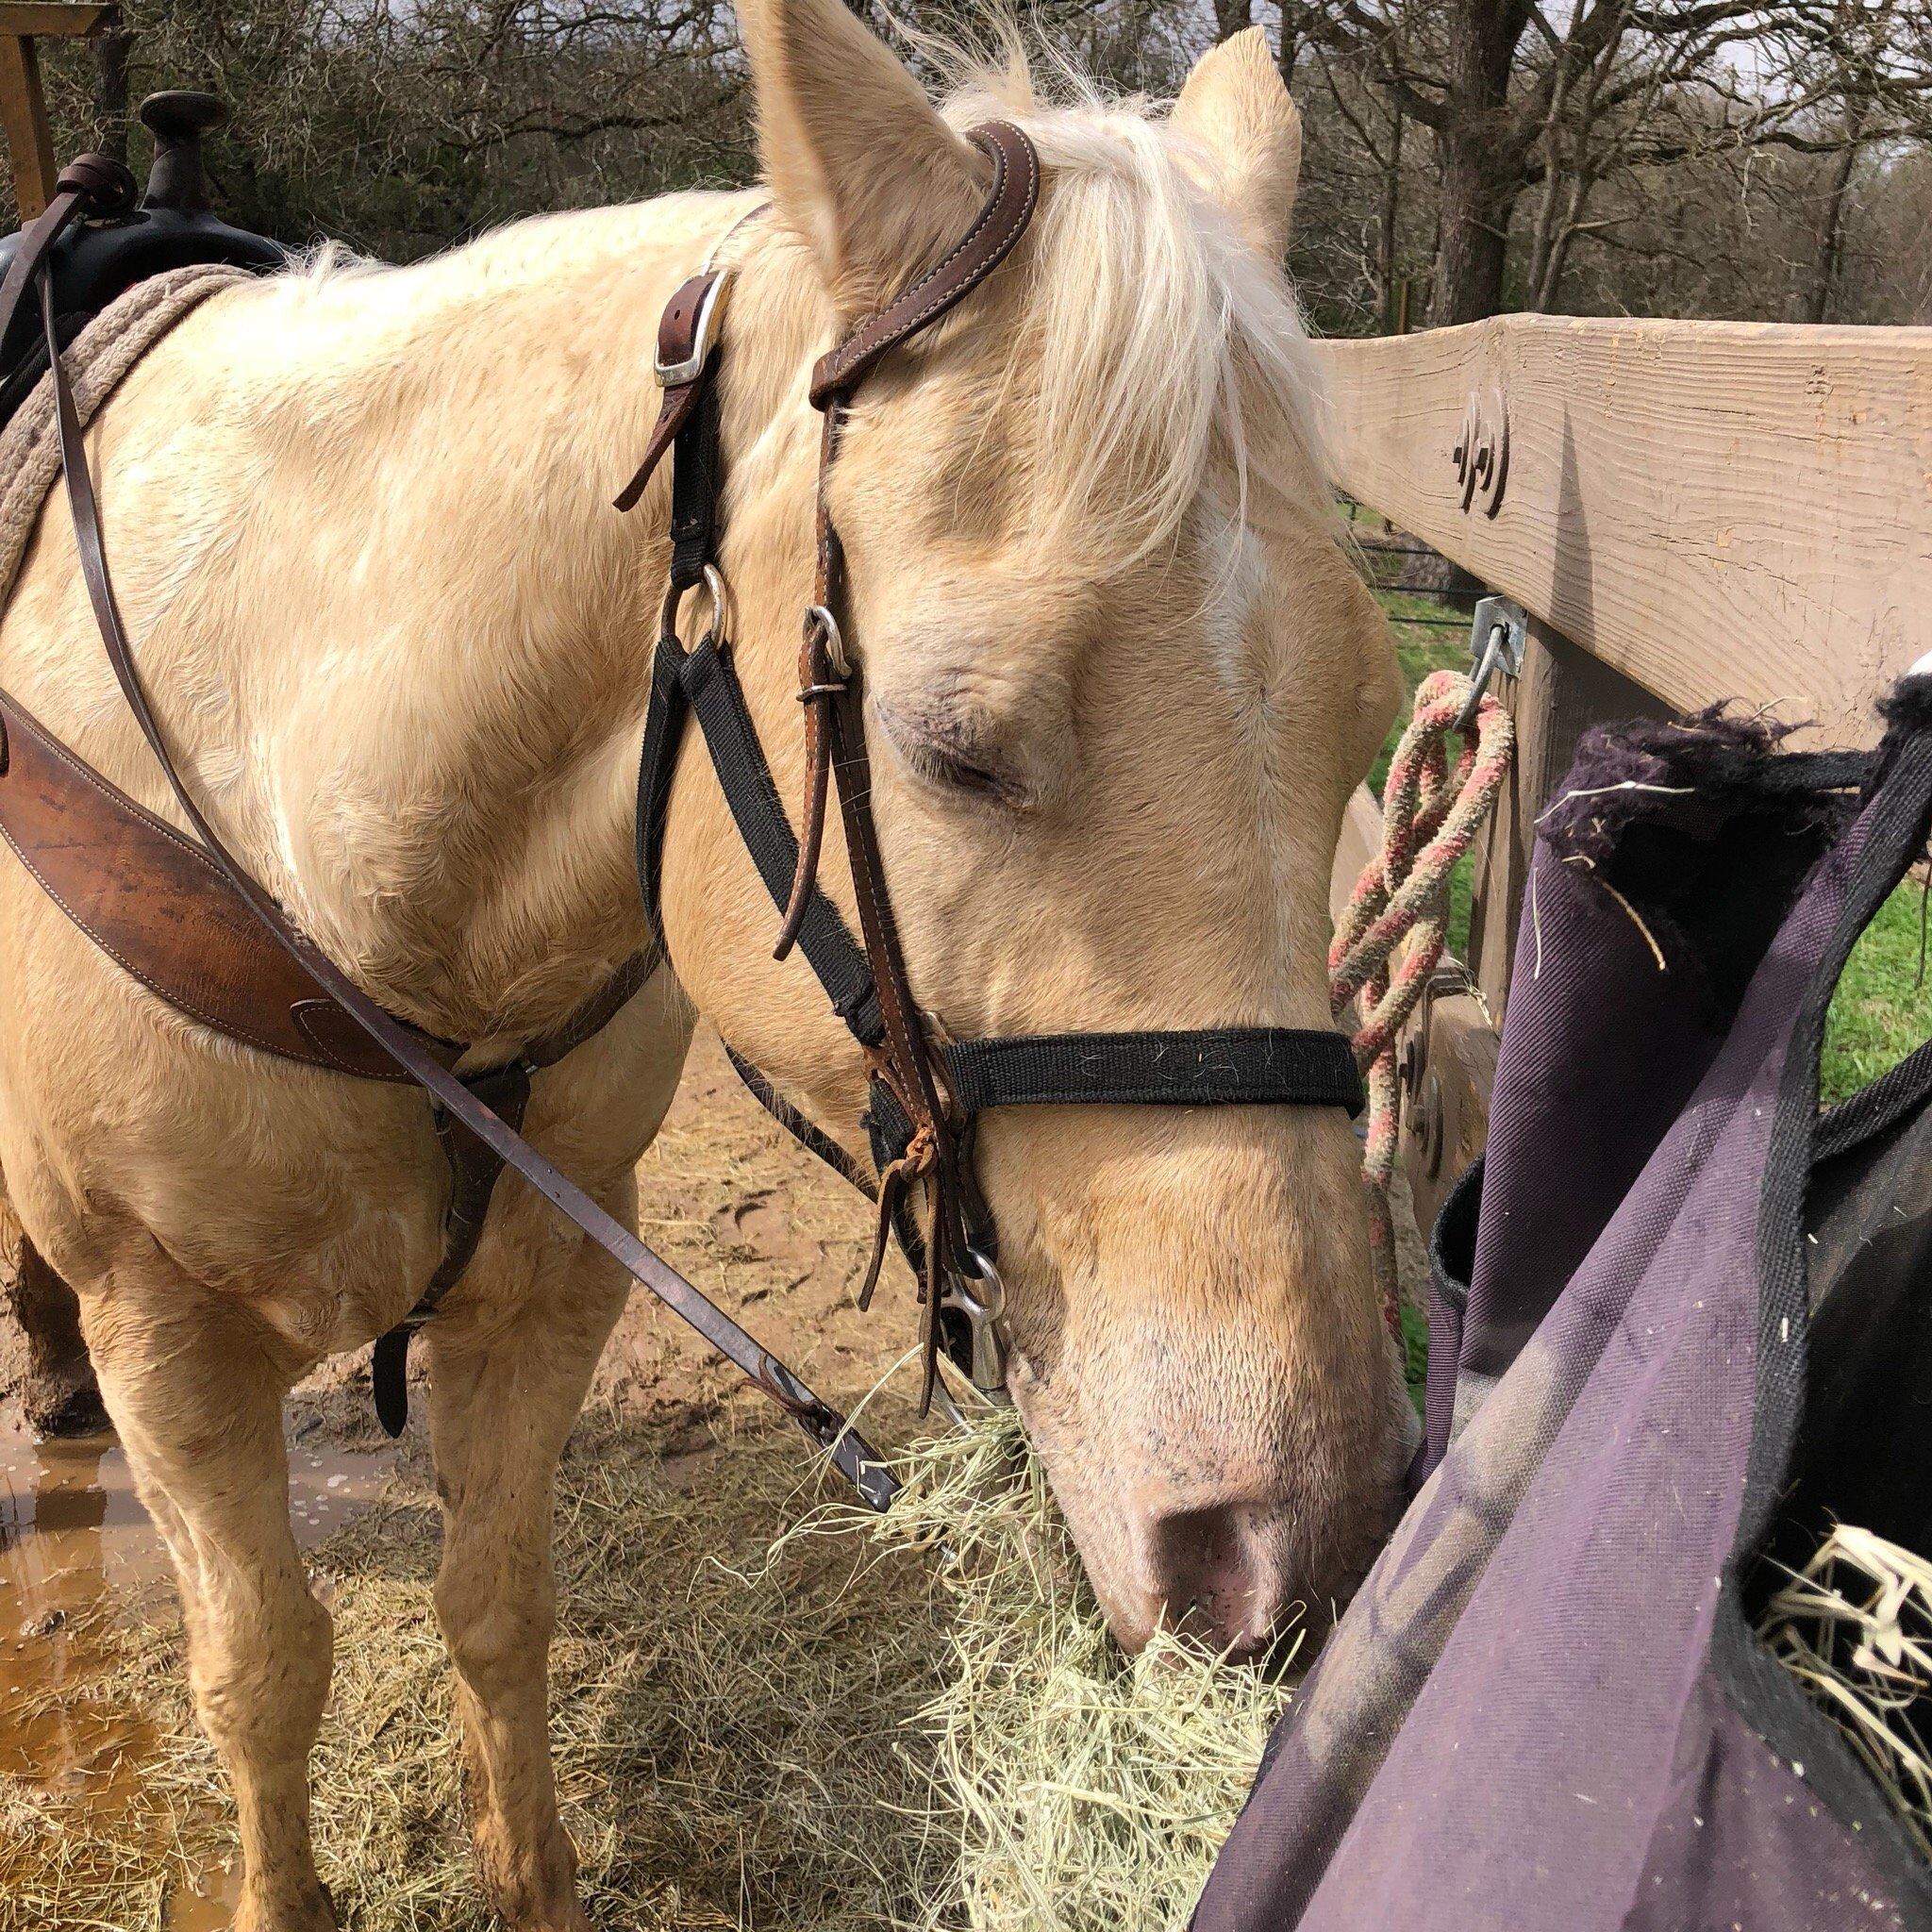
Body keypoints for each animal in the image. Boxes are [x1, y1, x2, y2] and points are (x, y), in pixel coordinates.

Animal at [0, 8, 1406, 1924]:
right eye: (951, 746)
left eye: (1362, 722)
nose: (1298, 1544)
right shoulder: (174, 1335)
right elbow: (262, 1671)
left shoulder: (545, 1283)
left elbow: (493, 1606)